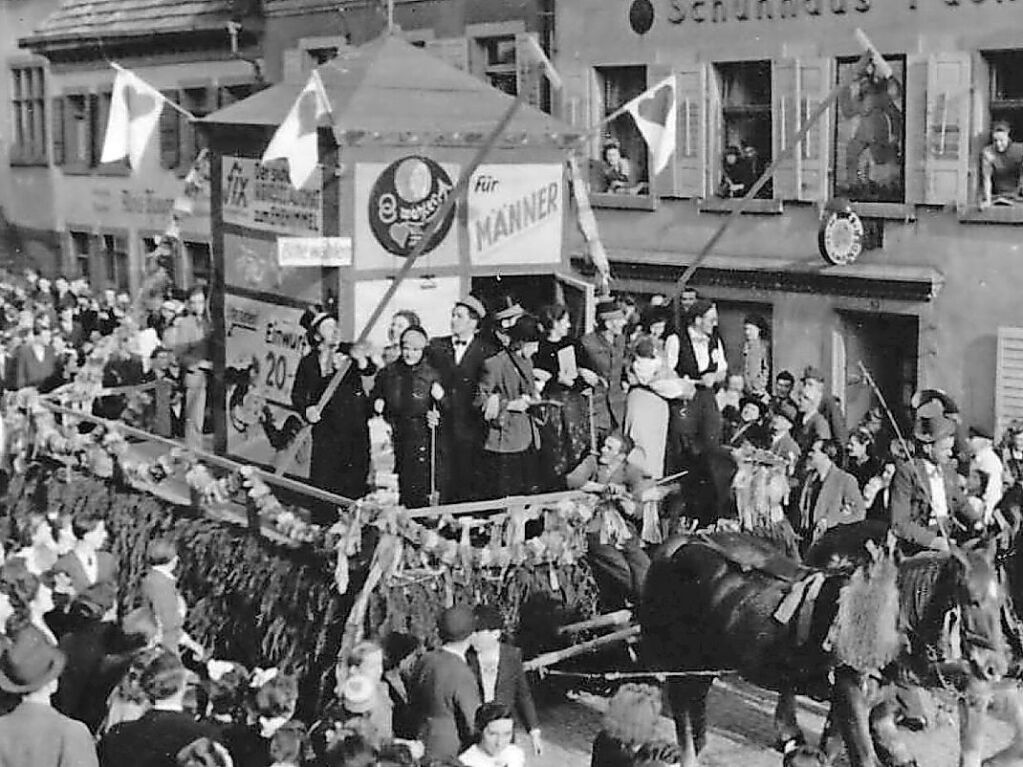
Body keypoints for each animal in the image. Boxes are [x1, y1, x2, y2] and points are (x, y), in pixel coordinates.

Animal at [638, 527, 1006, 767]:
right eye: (972, 600)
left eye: (1000, 601)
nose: (995, 667)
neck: (884, 617)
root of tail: (682, 542)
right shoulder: (850, 696)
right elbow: (864, 756)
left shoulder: (862, 705)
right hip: (683, 659)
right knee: (683, 714)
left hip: (706, 662)